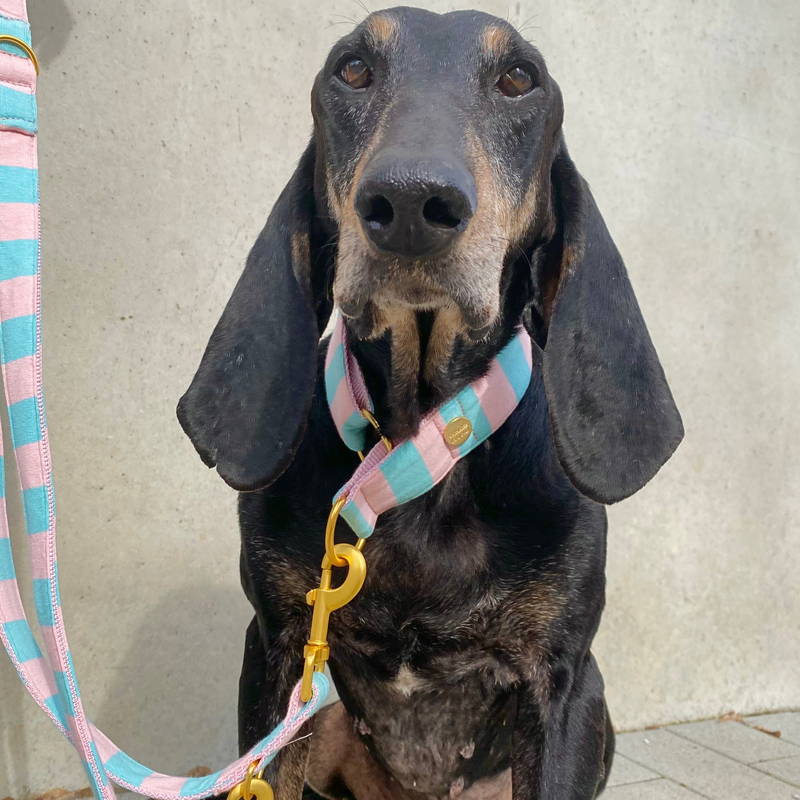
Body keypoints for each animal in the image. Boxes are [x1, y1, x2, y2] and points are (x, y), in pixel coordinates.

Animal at [178, 7, 684, 800]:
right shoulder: (276, 654)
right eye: (352, 69)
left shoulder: (563, 685)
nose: (412, 202)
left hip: (599, 710)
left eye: (519, 79)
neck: (421, 448)